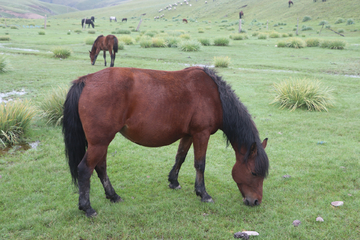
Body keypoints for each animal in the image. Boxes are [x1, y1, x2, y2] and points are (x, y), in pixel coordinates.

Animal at [63, 66, 268, 217]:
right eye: (254, 173)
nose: (256, 201)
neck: (215, 95)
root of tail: (86, 80)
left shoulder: (188, 134)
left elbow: (180, 157)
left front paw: (174, 181)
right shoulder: (201, 134)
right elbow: (200, 164)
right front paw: (203, 194)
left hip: (102, 143)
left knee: (101, 168)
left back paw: (113, 196)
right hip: (99, 143)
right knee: (85, 169)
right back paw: (87, 208)